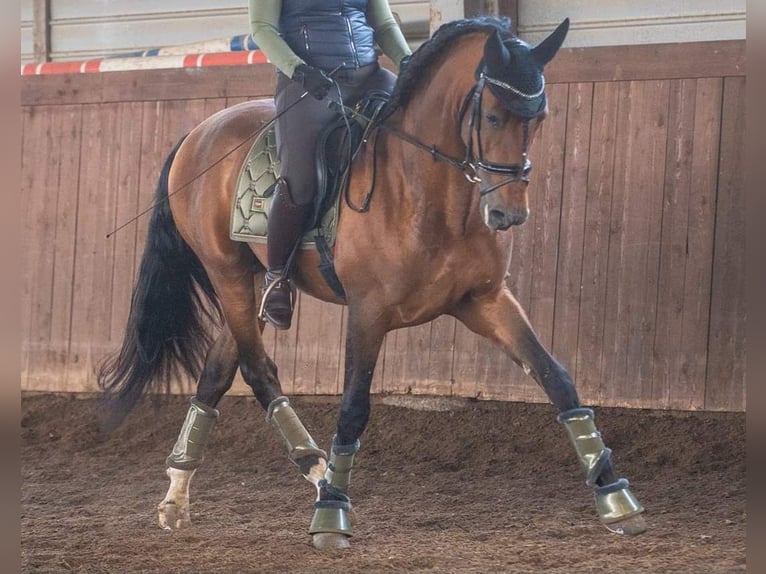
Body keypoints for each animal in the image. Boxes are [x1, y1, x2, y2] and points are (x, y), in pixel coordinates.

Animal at [99, 15, 644, 552]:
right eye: (491, 116)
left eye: (540, 118)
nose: (508, 214)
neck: (429, 192)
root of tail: (199, 132)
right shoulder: (368, 311)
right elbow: (354, 408)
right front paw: (332, 514)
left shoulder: (485, 300)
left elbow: (557, 379)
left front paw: (615, 497)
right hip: (227, 272)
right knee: (257, 370)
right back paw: (315, 470)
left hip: (250, 286)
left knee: (217, 371)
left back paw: (178, 496)